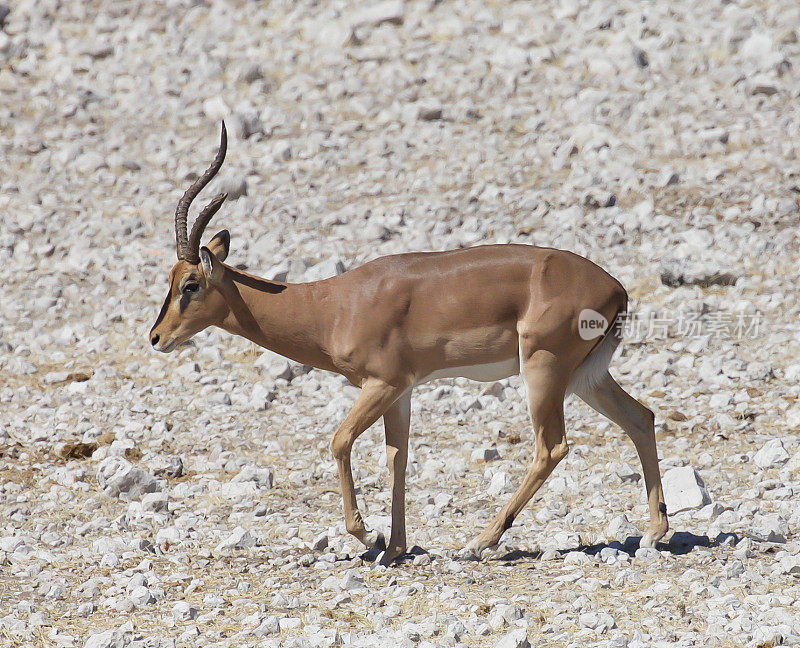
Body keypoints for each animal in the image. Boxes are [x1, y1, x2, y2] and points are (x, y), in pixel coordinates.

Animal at [148, 124, 668, 564]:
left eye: (191, 284)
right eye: (170, 279)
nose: (156, 337)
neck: (332, 306)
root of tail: (615, 287)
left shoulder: (382, 383)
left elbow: (340, 441)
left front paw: (370, 535)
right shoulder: (402, 391)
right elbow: (397, 458)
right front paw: (394, 546)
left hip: (543, 370)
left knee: (551, 448)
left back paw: (479, 542)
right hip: (585, 377)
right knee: (641, 418)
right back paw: (652, 533)